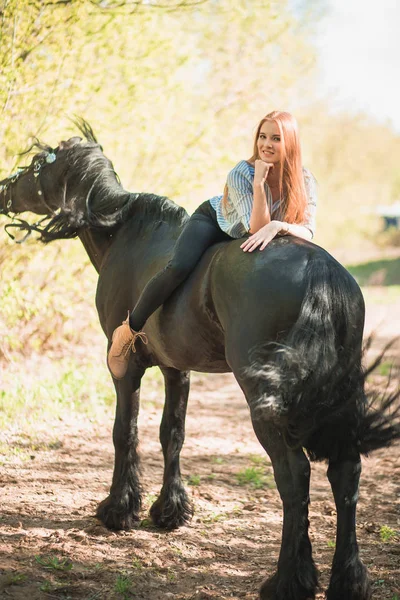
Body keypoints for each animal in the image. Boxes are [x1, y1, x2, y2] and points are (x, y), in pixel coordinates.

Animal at [1, 123, 398, 600]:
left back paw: (288, 580)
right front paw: (169, 511)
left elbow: (124, 432)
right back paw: (348, 580)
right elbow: (172, 433)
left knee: (294, 475)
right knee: (346, 473)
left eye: (36, 165)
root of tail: (318, 269)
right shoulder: (179, 369)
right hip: (339, 396)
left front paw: (118, 510)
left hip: (265, 402)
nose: (4, 191)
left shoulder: (127, 373)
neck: (126, 235)